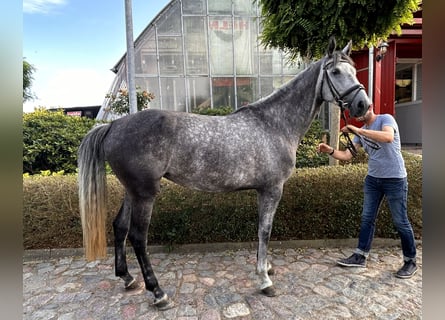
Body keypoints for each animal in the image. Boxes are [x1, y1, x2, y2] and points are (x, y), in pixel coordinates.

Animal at [78, 38, 370, 310]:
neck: (274, 124)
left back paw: (128, 278)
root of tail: (113, 125)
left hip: (132, 191)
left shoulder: (262, 191)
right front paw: (265, 279)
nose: (363, 105)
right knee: (138, 237)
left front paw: (267, 267)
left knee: (120, 227)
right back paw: (159, 293)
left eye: (354, 70)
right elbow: (265, 231)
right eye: (335, 72)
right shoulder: (272, 189)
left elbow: (263, 230)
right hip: (145, 194)